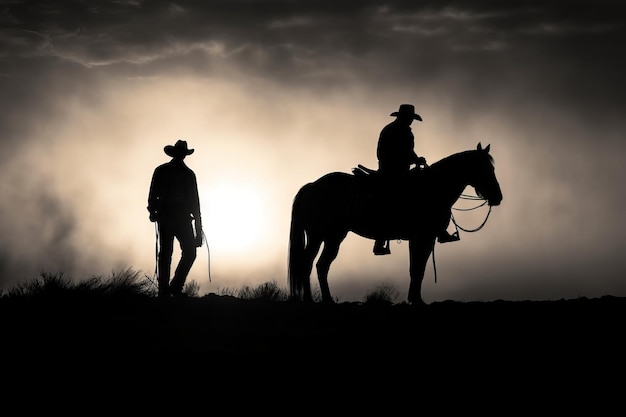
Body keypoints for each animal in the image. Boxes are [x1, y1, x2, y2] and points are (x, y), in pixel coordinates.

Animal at [288, 143, 502, 306]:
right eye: (486, 169)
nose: (498, 197)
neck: (432, 189)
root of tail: (312, 185)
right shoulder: (421, 237)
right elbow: (417, 269)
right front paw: (416, 300)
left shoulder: (426, 238)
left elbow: (418, 268)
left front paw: (415, 298)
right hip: (317, 235)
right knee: (306, 263)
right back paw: (309, 300)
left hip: (334, 237)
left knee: (322, 265)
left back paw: (328, 300)